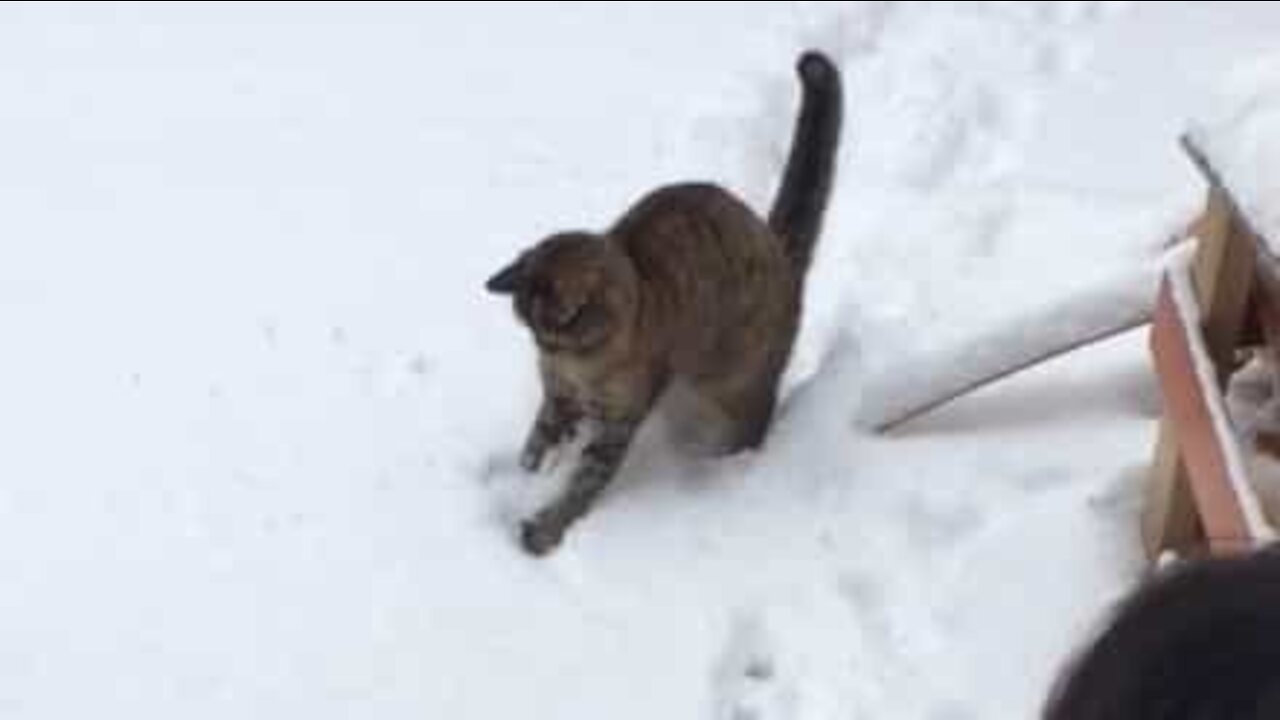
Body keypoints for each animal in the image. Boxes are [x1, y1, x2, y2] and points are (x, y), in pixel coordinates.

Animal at [483, 51, 844, 556]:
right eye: (528, 326)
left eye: (563, 320)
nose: (545, 348)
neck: (583, 367)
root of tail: (776, 244)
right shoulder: (560, 399)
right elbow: (537, 445)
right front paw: (525, 478)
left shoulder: (617, 422)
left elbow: (582, 484)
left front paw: (545, 526)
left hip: (731, 383)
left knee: (754, 423)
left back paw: (728, 467)